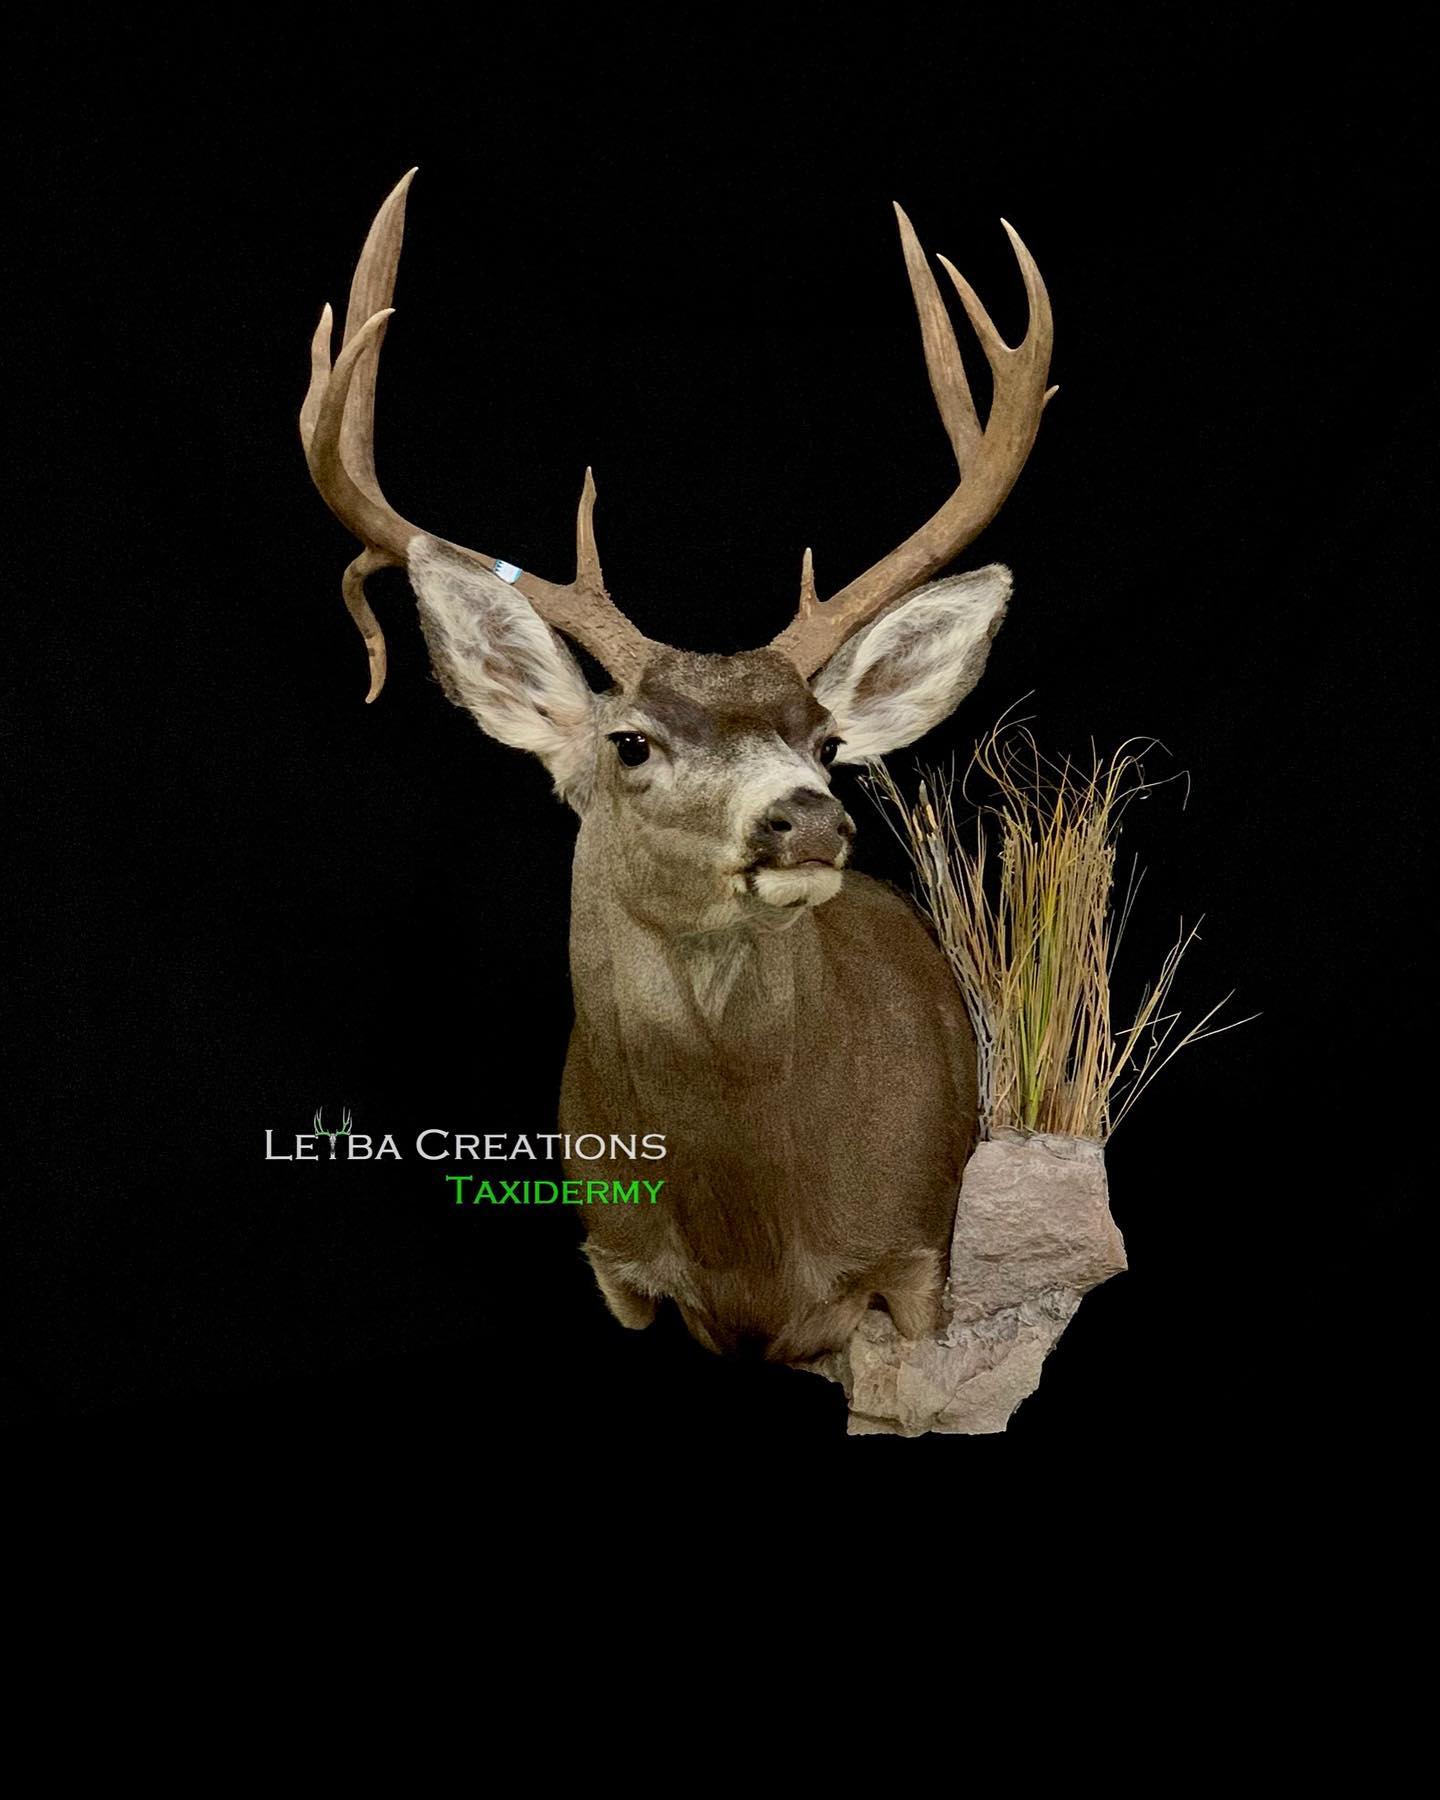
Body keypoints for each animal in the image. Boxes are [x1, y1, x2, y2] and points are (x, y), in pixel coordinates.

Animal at [300, 171, 1054, 1364]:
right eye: (631, 742)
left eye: (825, 741)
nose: (808, 818)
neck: (749, 1230)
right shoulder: (613, 1263)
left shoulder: (919, 1251)